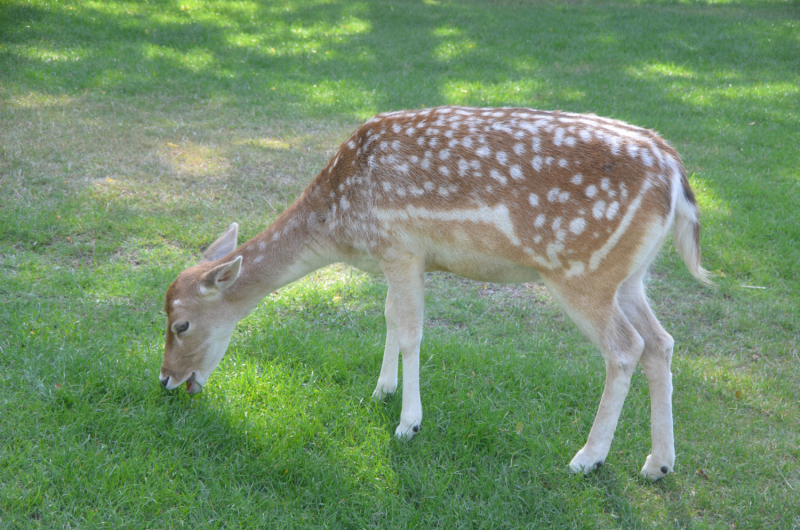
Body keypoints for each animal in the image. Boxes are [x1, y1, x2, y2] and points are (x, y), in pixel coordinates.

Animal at [159, 105, 708, 480]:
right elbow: (387, 314)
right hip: (630, 276)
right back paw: (658, 463)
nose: (166, 380)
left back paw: (587, 457)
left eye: (180, 323)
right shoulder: (402, 258)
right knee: (661, 343)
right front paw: (382, 389)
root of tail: (676, 175)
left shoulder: (399, 247)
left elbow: (409, 331)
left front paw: (409, 424)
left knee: (625, 347)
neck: (339, 224)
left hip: (581, 272)